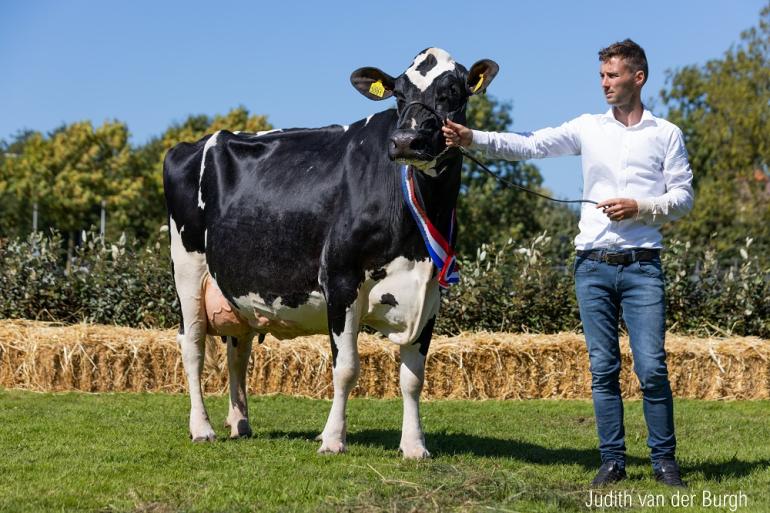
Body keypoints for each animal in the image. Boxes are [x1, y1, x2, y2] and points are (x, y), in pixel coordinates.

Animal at [163, 48, 498, 456]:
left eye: (451, 92)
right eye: (398, 95)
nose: (406, 140)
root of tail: (193, 143)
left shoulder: (430, 292)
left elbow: (413, 377)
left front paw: (414, 446)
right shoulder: (340, 279)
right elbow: (347, 368)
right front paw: (334, 439)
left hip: (236, 287)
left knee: (237, 351)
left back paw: (240, 423)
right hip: (188, 270)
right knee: (193, 345)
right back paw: (202, 428)